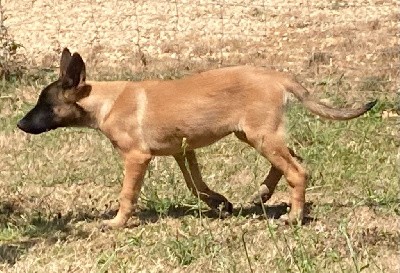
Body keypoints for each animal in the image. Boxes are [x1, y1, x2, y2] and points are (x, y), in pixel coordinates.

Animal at [17, 47, 376, 226]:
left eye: (45, 105)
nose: (20, 125)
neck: (104, 101)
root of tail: (277, 76)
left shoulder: (137, 158)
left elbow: (127, 194)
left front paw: (117, 222)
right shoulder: (182, 151)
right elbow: (196, 185)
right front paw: (220, 202)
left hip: (260, 136)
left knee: (298, 171)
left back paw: (294, 216)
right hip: (254, 135)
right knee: (293, 161)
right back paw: (263, 193)